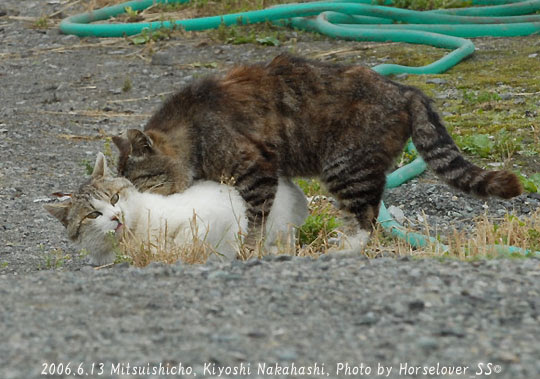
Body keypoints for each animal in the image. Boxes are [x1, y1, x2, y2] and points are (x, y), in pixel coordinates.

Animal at [45, 153, 308, 266]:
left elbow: (186, 241)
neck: (133, 236)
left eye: (114, 198)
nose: (116, 216)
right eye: (93, 215)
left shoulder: (212, 213)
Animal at [115, 53, 524, 254]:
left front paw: (249, 247)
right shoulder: (275, 171)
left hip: (345, 168)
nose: (131, 204)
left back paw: (343, 248)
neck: (193, 127)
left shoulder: (257, 170)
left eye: (139, 181)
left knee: (365, 219)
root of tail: (404, 89)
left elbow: (256, 219)